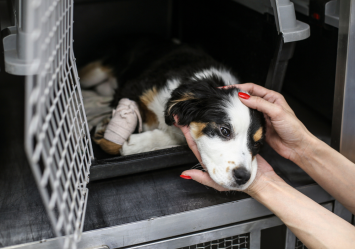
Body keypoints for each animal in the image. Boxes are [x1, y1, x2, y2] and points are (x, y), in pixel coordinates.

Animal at [79, 37, 266, 190]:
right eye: (224, 131)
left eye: (257, 144)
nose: (243, 177)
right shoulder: (131, 89)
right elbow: (114, 139)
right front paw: (107, 135)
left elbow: (176, 135)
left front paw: (135, 143)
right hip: (95, 72)